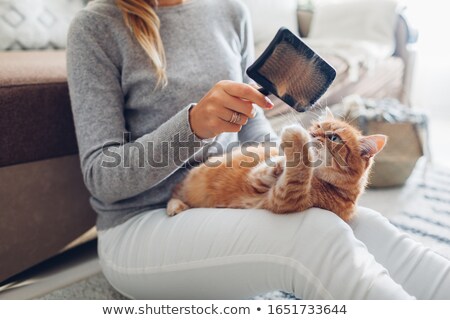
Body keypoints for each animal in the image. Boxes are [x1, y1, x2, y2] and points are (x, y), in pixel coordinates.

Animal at [167, 109, 384, 221]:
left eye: (334, 138)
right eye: (317, 126)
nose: (312, 133)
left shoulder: (284, 198)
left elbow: (300, 170)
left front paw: (296, 139)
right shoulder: (258, 179)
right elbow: (270, 167)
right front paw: (282, 157)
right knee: (175, 193)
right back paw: (176, 206)